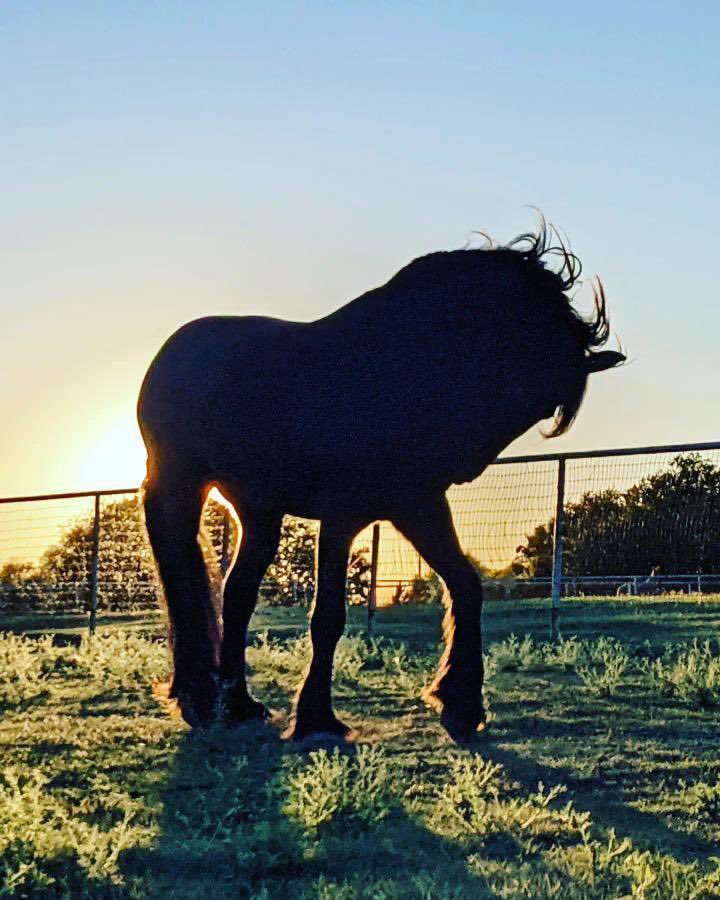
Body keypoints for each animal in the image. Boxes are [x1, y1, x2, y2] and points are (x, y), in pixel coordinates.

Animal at [137, 220, 625, 743]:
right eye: (517, 382)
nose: (465, 463)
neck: (399, 373)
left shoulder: (417, 503)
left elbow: (466, 584)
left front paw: (460, 703)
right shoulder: (343, 515)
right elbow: (328, 617)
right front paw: (317, 719)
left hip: (259, 511)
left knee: (237, 595)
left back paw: (237, 705)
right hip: (182, 488)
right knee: (191, 590)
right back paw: (203, 698)